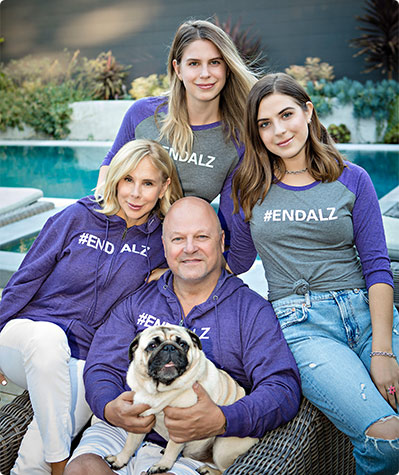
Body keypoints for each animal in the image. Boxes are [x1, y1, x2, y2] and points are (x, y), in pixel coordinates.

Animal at [104, 326, 258, 475]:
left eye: (183, 344)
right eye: (152, 345)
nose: (169, 347)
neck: (161, 389)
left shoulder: (182, 425)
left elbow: (173, 447)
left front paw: (162, 465)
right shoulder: (140, 420)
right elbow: (130, 444)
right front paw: (120, 459)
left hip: (222, 446)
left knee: (225, 468)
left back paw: (209, 470)